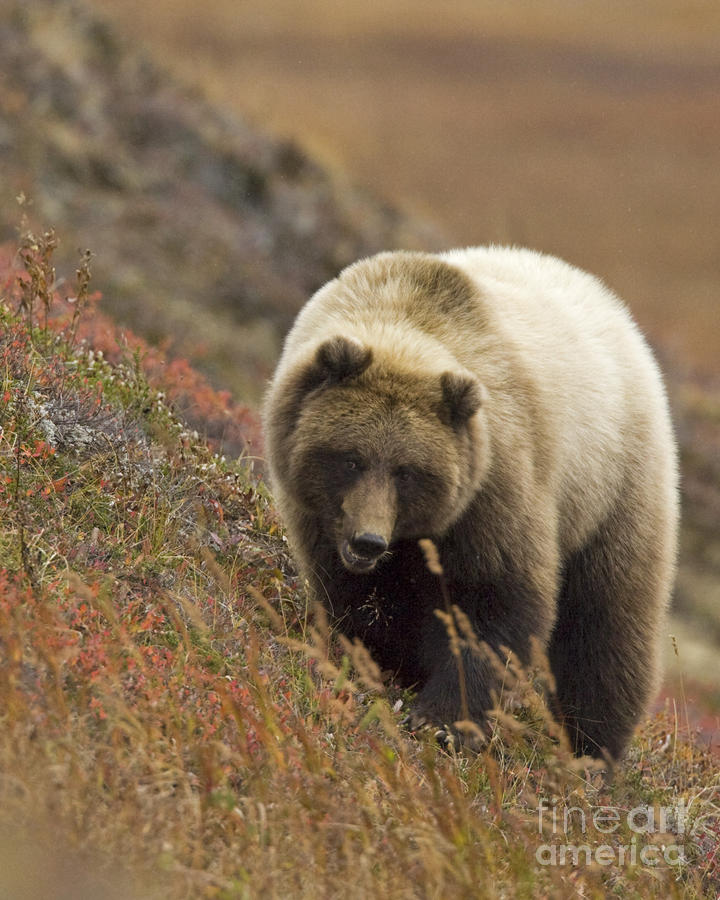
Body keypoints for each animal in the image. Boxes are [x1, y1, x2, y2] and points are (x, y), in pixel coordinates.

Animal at [262, 246, 676, 760]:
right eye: (351, 458)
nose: (367, 541)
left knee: (606, 625)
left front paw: (443, 720)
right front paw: (383, 662)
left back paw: (590, 747)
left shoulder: (495, 488)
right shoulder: (321, 517)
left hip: (614, 491)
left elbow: (493, 603)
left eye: (407, 470)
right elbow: (360, 599)